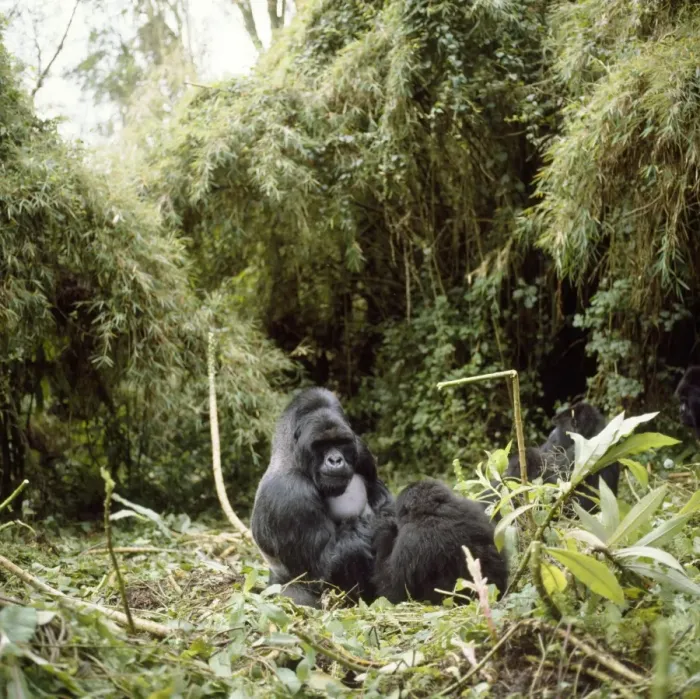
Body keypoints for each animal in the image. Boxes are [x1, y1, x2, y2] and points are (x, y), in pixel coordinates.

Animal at [251, 387, 395, 608]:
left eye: (341, 442)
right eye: (321, 444)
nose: (335, 460)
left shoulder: (361, 449)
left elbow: (383, 499)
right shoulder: (290, 494)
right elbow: (326, 566)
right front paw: (382, 523)